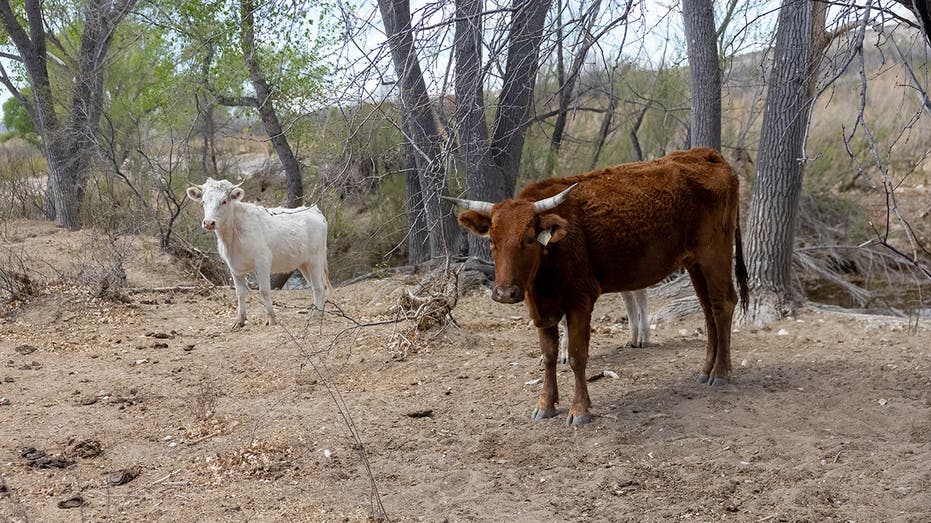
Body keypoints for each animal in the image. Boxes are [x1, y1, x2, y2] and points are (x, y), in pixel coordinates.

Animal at [186, 178, 329, 329]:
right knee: (315, 287)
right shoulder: (234, 267)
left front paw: (271, 319)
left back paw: (314, 316)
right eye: (203, 201)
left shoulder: (262, 262)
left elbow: (264, 290)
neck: (232, 236)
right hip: (303, 264)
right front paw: (240, 321)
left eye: (224, 201)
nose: (208, 222)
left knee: (319, 287)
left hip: (316, 259)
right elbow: (240, 293)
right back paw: (319, 313)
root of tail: (314, 210)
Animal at [445, 148, 749, 425]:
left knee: (723, 304)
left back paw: (720, 373)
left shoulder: (581, 301)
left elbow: (578, 356)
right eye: (492, 241)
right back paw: (706, 369)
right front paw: (545, 405)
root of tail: (707, 154)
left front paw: (579, 409)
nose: (505, 293)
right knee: (708, 309)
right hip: (695, 263)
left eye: (529, 239)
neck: (552, 255)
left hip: (715, 255)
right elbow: (549, 355)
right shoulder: (541, 309)